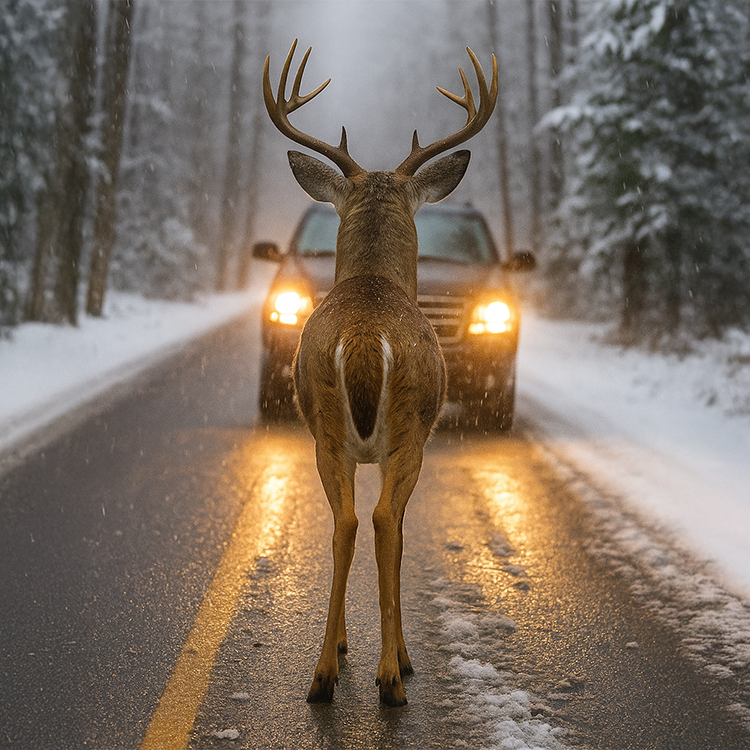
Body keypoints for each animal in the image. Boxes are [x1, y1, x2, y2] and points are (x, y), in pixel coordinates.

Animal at [262, 40, 497, 706]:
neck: (372, 280)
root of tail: (367, 334)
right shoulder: (414, 439)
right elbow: (398, 532)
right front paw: (398, 658)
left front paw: (347, 647)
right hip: (409, 430)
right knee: (383, 520)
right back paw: (391, 675)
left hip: (325, 430)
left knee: (343, 520)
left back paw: (324, 672)